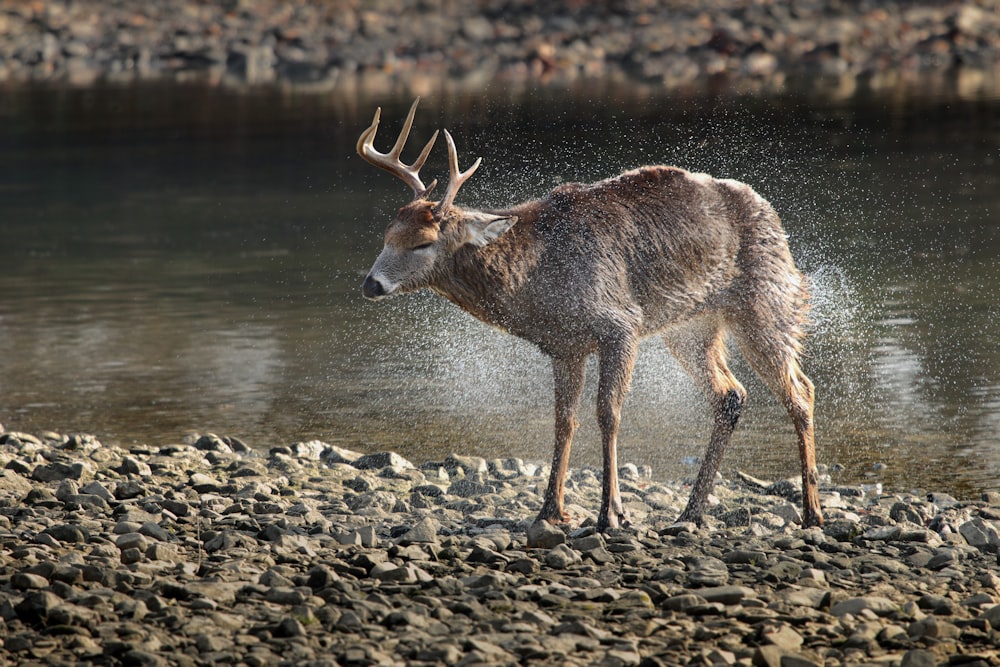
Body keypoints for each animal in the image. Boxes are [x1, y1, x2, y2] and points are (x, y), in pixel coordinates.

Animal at [356, 99, 824, 536]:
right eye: (386, 234)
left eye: (423, 242)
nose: (371, 284)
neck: (538, 282)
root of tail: (771, 213)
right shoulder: (565, 346)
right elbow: (565, 420)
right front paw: (550, 510)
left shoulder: (621, 323)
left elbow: (608, 412)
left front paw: (611, 513)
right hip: (692, 328)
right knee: (731, 394)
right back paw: (689, 514)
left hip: (766, 299)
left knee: (801, 390)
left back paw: (811, 512)